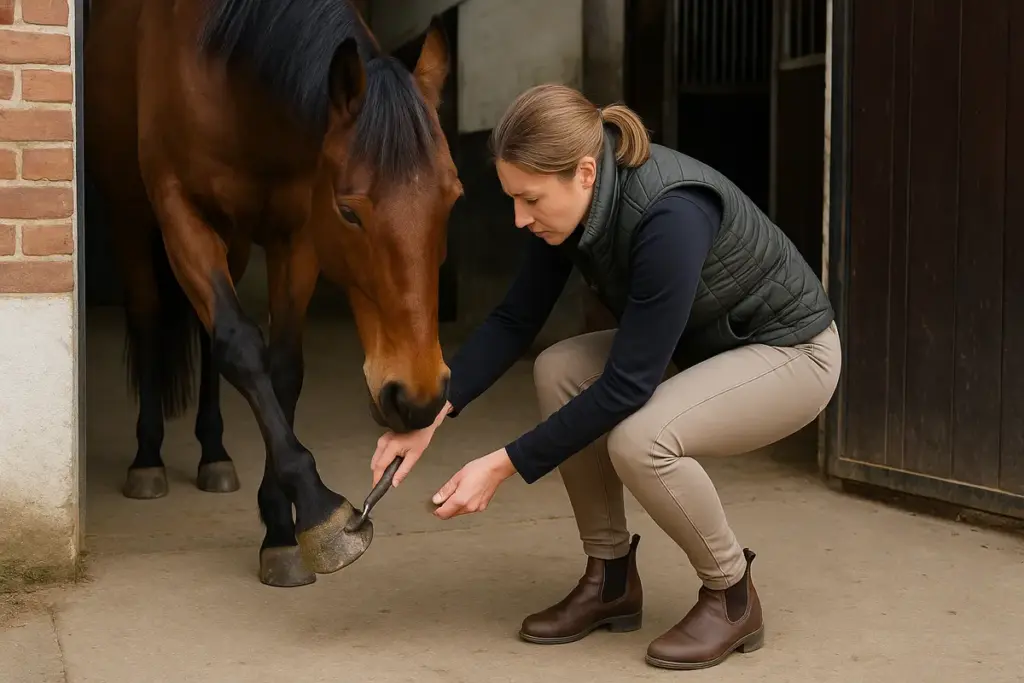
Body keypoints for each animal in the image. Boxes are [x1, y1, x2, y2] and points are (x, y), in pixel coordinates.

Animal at [82, 0, 463, 588]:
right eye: (349, 212)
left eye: (453, 199)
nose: (418, 398)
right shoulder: (180, 213)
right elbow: (241, 347)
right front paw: (319, 510)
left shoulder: (297, 235)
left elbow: (280, 367)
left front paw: (282, 527)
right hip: (132, 219)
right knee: (149, 318)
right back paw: (147, 458)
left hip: (235, 239)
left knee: (205, 333)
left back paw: (214, 454)